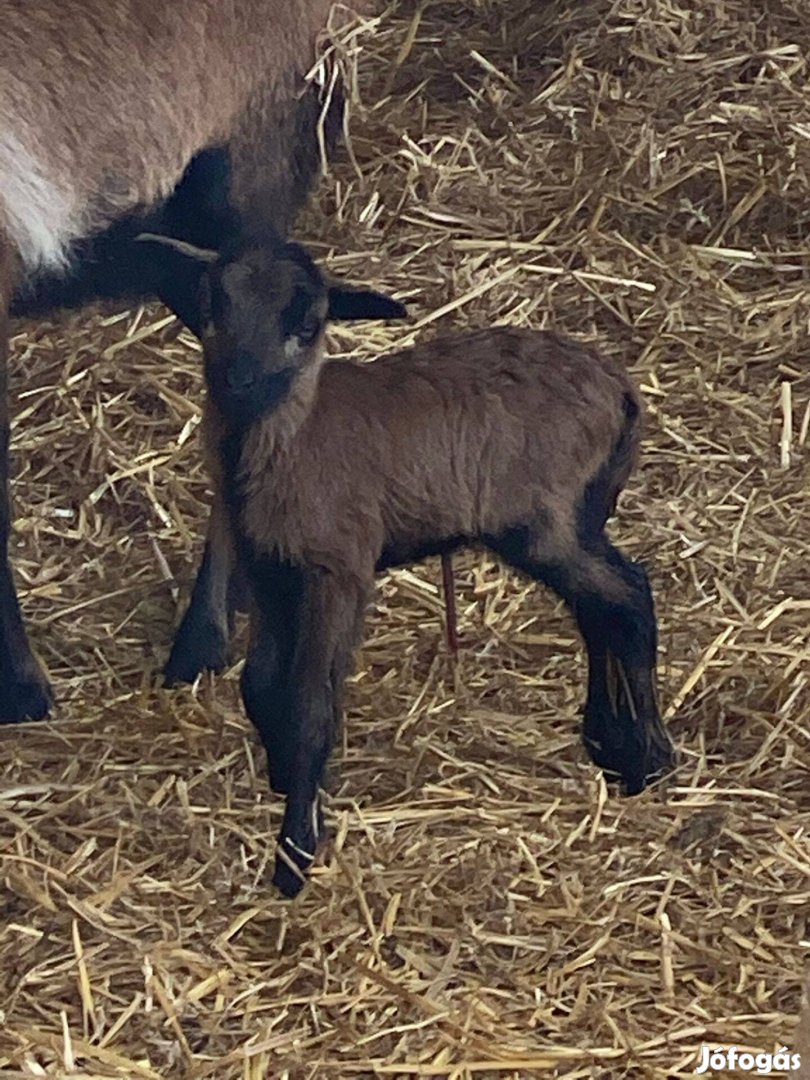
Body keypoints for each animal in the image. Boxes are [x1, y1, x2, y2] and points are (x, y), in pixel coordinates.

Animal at [141, 234, 678, 894]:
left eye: (309, 324)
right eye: (212, 306)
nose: (241, 384)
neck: (286, 441)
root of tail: (622, 392)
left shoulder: (340, 570)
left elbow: (310, 704)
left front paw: (295, 854)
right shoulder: (272, 572)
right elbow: (260, 685)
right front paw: (285, 778)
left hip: (545, 521)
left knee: (627, 596)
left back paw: (649, 758)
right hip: (569, 522)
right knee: (603, 608)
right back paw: (612, 745)